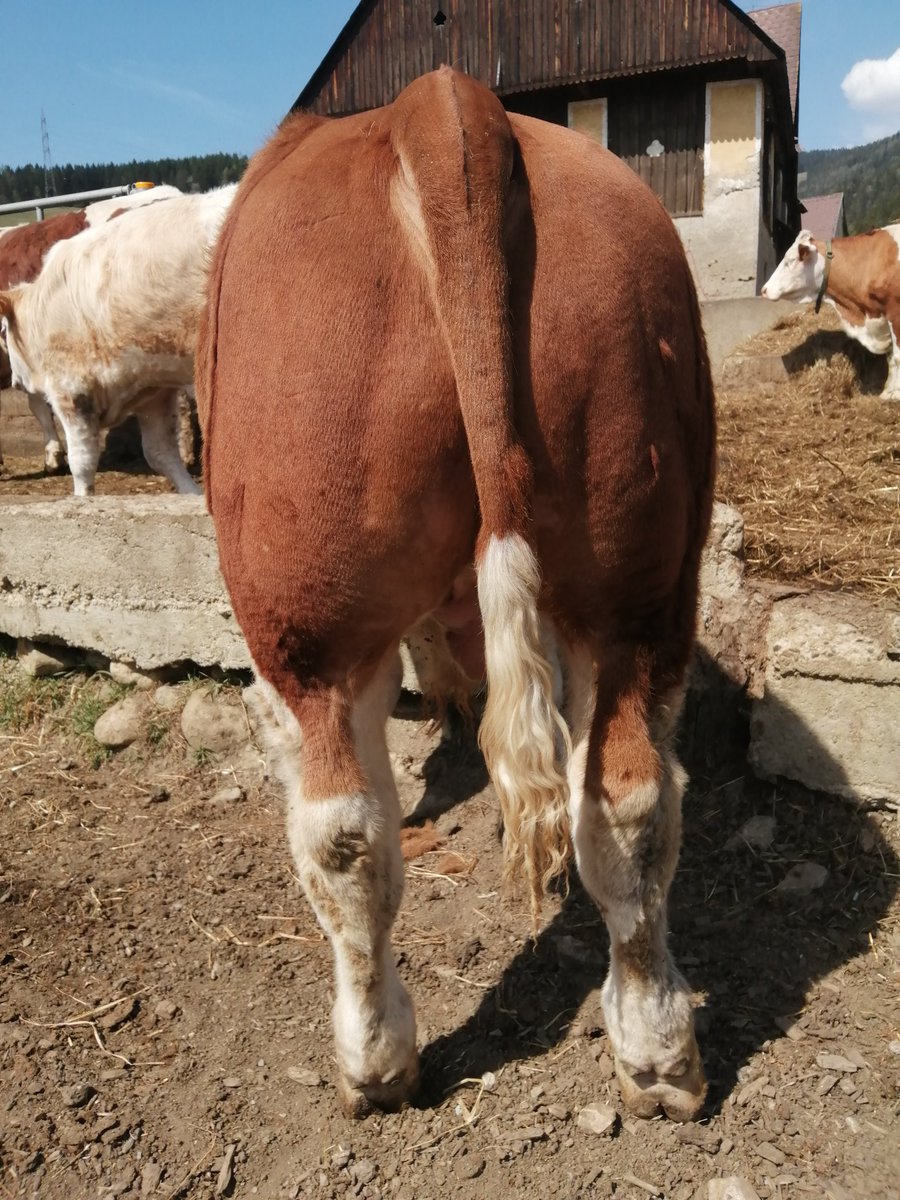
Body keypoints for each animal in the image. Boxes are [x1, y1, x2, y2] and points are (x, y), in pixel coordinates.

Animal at [0, 185, 235, 495]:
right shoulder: (153, 393)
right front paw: (191, 493)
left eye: (3, 331)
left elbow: (82, 461)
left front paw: (80, 495)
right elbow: (160, 454)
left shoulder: (71, 389)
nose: (16, 381)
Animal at [199, 68, 715, 1122]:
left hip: (303, 618)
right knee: (628, 805)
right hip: (637, 566)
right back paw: (656, 1051)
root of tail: (443, 104)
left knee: (342, 839)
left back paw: (375, 1063)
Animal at [761, 226, 900, 400]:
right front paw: (887, 391)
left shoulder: (895, 312)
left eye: (790, 261)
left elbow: (897, 356)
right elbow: (891, 357)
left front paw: (895, 394)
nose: (764, 290)